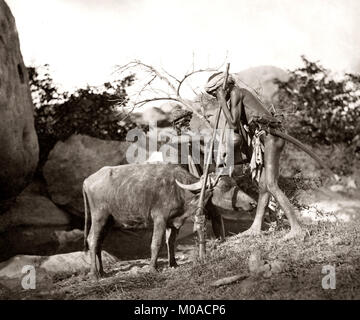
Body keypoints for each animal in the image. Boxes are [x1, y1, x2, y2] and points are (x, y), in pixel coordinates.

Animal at [83, 162, 256, 278]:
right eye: (225, 186)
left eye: (235, 183)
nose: (253, 203)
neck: (180, 190)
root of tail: (87, 181)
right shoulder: (160, 219)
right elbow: (156, 243)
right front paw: (153, 268)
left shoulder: (173, 223)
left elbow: (170, 241)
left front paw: (173, 263)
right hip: (99, 216)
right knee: (92, 239)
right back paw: (94, 274)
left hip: (109, 221)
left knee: (99, 242)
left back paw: (102, 271)